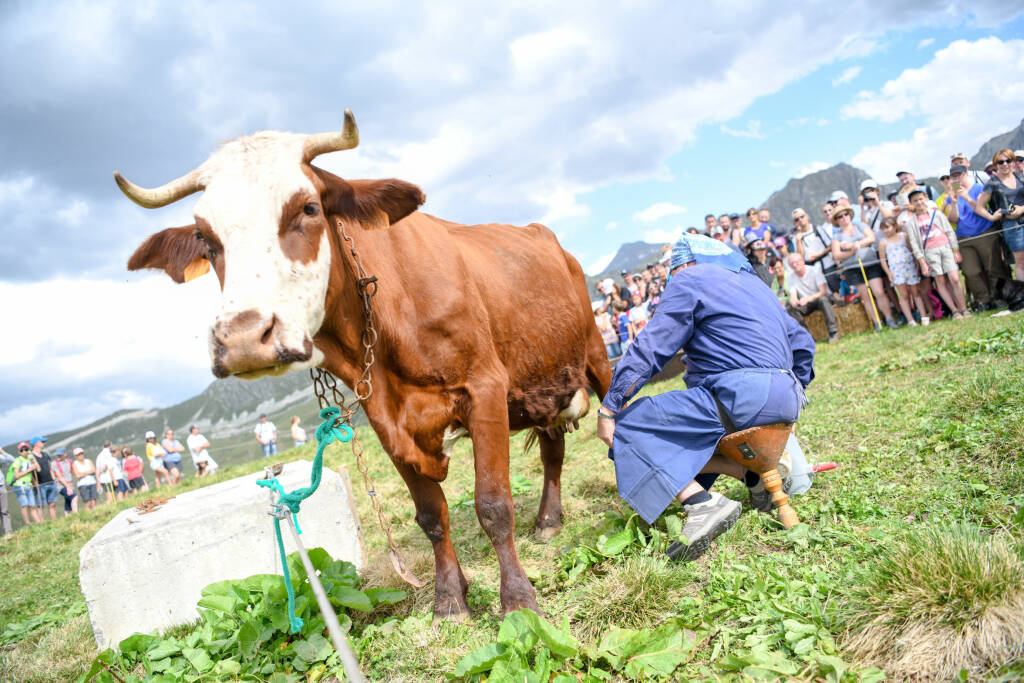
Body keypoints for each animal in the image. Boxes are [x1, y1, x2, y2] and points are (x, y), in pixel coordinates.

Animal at [119, 109, 614, 618]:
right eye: (204, 236)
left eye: (308, 208)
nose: (243, 339)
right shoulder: (384, 418)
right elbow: (431, 515)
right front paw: (449, 598)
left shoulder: (485, 388)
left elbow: (493, 504)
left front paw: (517, 600)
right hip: (544, 379)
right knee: (554, 450)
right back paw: (549, 519)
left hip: (595, 354)